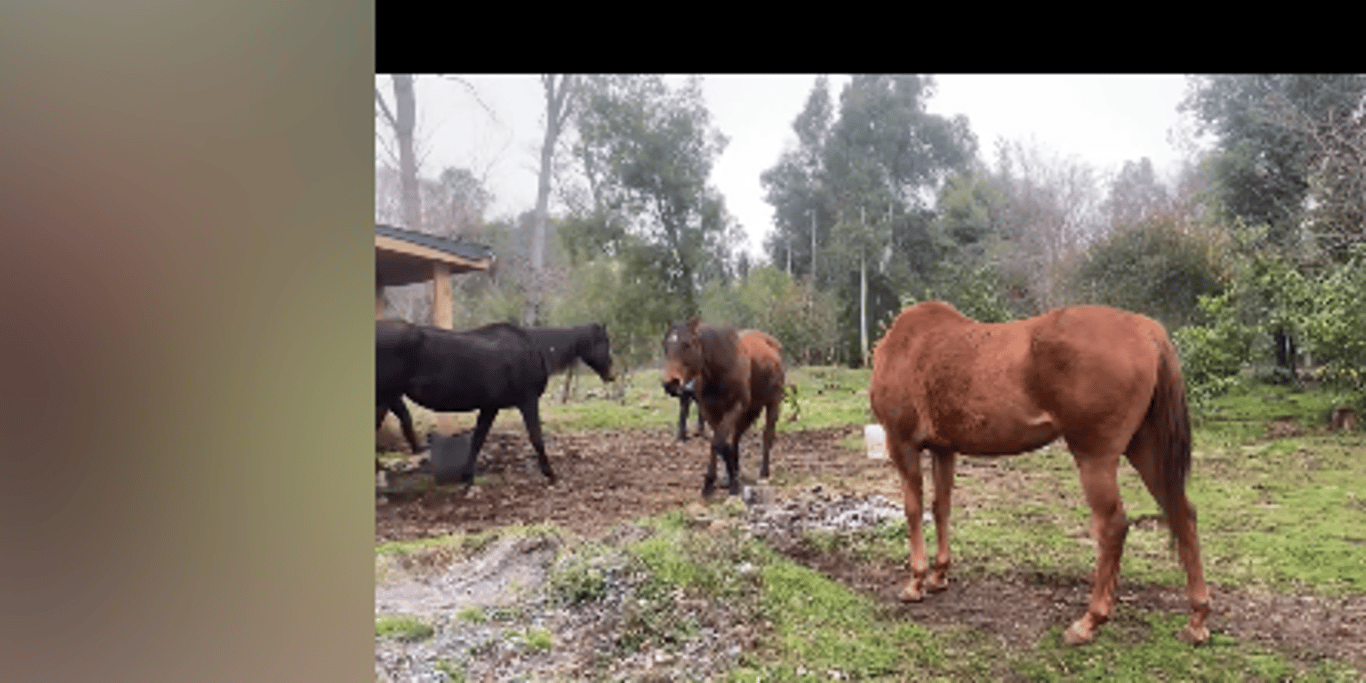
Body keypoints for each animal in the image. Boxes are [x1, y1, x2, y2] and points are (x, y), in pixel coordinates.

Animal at [661, 318, 785, 498]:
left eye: (687, 344)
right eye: (665, 345)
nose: (670, 383)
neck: (718, 371)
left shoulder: (735, 407)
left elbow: (718, 443)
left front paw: (721, 482)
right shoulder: (709, 411)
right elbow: (720, 443)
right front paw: (722, 480)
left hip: (773, 403)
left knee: (767, 435)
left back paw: (764, 473)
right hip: (748, 411)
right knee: (736, 438)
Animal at [868, 301, 1209, 646]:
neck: (909, 344)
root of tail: (1146, 331)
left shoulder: (902, 445)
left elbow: (914, 510)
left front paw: (916, 582)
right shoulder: (943, 449)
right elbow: (941, 508)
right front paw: (939, 575)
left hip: (1096, 459)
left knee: (1113, 526)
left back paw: (1089, 621)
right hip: (1147, 450)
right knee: (1183, 514)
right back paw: (1197, 620)